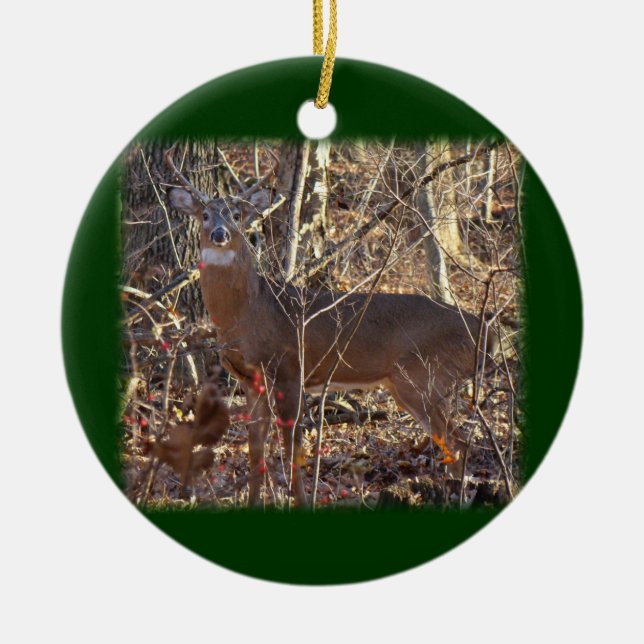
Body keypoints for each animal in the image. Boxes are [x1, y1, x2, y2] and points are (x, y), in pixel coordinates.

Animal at [165, 146, 497, 507]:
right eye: (205, 214)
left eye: (237, 214)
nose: (220, 235)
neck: (248, 313)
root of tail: (486, 332)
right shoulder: (250, 379)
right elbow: (256, 450)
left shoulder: (289, 368)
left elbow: (291, 447)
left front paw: (301, 502)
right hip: (414, 383)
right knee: (454, 442)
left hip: (424, 376)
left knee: (459, 442)